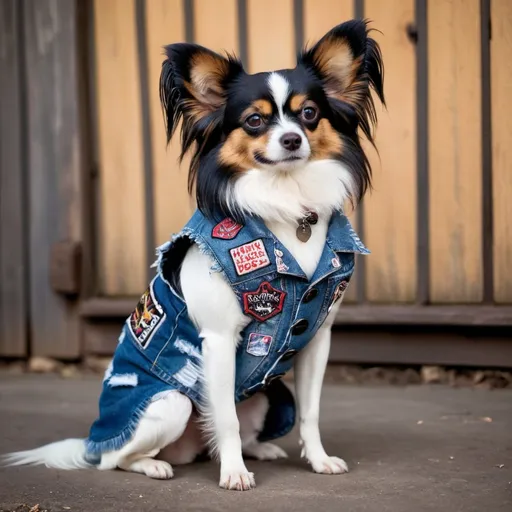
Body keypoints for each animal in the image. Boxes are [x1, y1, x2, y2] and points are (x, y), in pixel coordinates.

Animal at [2, 20, 382, 492]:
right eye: (254, 120)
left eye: (309, 113)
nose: (292, 138)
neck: (286, 203)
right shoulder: (218, 341)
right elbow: (227, 421)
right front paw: (234, 474)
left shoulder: (316, 338)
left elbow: (309, 413)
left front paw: (318, 459)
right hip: (169, 404)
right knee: (118, 458)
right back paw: (155, 465)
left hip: (265, 396)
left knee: (227, 429)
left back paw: (259, 450)